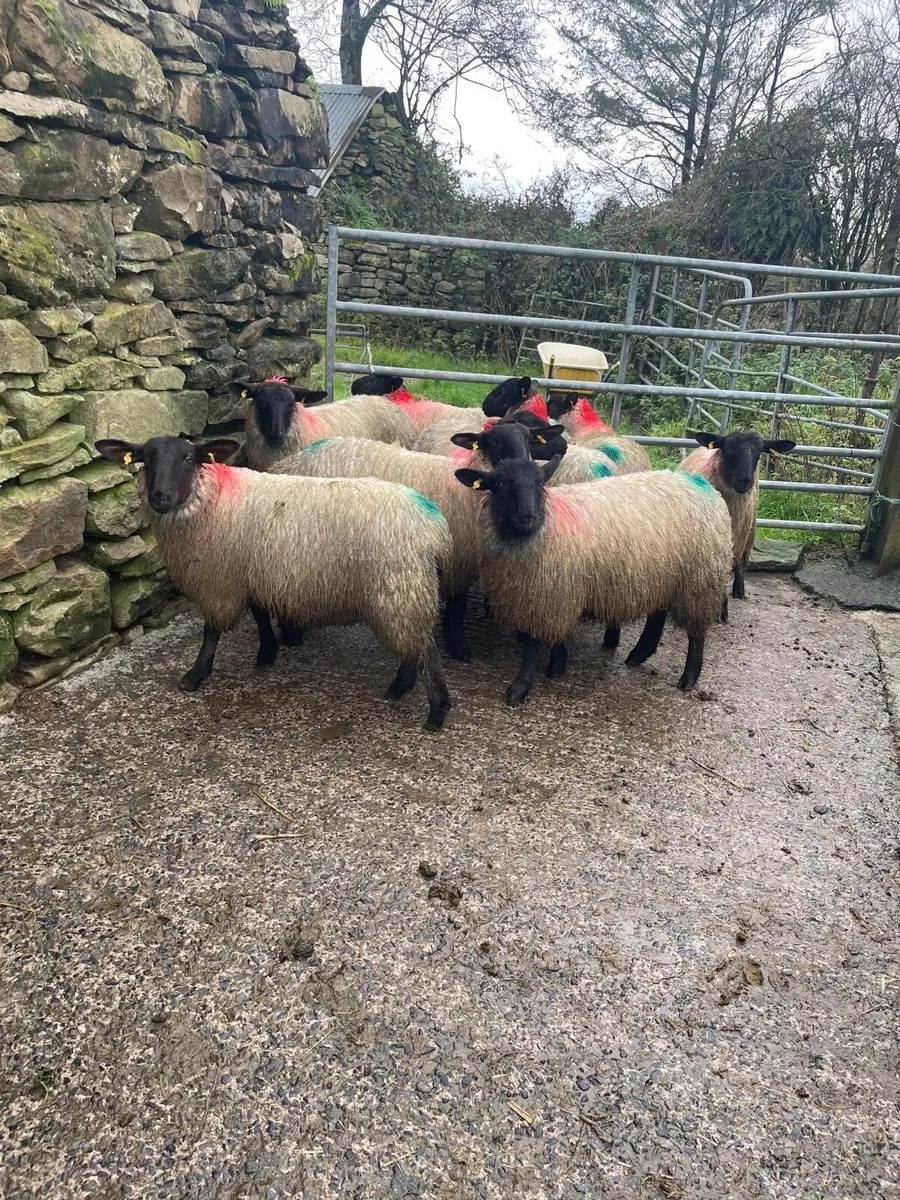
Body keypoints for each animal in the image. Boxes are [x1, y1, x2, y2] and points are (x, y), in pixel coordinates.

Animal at [94, 435, 453, 730]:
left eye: (189, 458)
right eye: (146, 458)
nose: (161, 497)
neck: (211, 499)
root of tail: (433, 526)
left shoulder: (219, 580)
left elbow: (211, 631)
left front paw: (196, 674)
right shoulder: (252, 572)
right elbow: (259, 613)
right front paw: (267, 651)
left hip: (401, 588)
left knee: (427, 649)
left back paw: (436, 710)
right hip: (405, 589)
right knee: (415, 646)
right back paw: (401, 687)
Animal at [454, 455, 732, 703]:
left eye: (539, 482)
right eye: (500, 484)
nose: (527, 517)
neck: (546, 527)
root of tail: (701, 484)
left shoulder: (548, 593)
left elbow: (532, 644)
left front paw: (521, 686)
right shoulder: (554, 592)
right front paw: (558, 664)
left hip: (699, 579)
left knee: (696, 633)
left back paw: (689, 677)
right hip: (665, 575)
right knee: (658, 615)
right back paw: (639, 654)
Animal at [679, 430, 796, 603]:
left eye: (760, 451)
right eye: (728, 448)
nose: (744, 480)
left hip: (749, 531)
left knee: (742, 563)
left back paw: (739, 591)